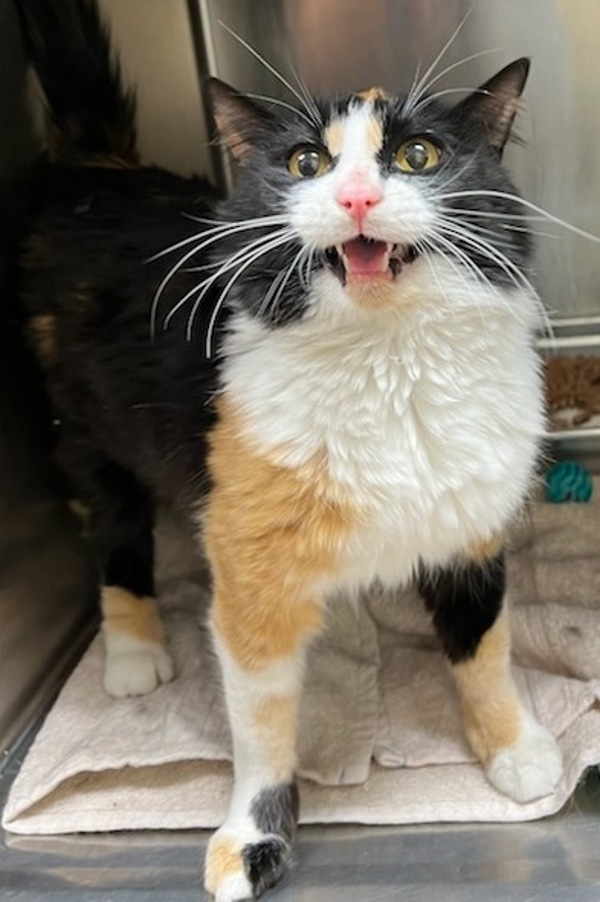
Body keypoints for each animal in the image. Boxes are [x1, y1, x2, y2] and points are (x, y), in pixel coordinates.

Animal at [17, 0, 564, 900]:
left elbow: (484, 649)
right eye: (306, 161)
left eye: (418, 155)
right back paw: (133, 650)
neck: (388, 361)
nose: (356, 194)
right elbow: (263, 723)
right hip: (86, 426)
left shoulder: (469, 526)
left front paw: (514, 749)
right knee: (113, 525)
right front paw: (253, 836)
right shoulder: (251, 575)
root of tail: (104, 170)